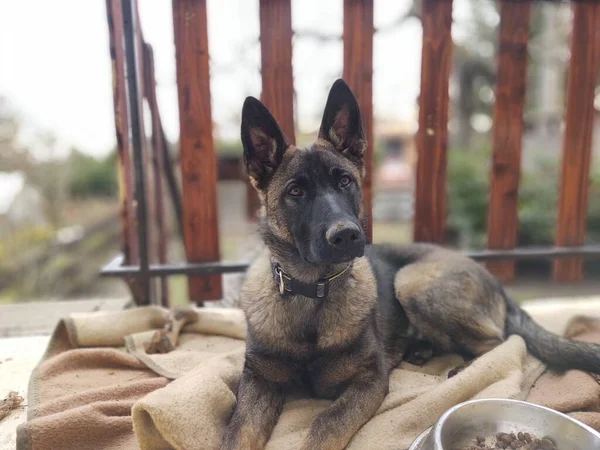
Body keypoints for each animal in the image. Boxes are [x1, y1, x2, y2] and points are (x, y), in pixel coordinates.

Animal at [220, 80, 600, 450]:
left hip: (412, 283)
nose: (346, 235)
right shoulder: (258, 382)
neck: (312, 293)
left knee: (504, 341)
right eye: (295, 192)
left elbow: (326, 423)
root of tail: (495, 282)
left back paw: (465, 368)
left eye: (345, 181)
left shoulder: (368, 381)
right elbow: (238, 433)